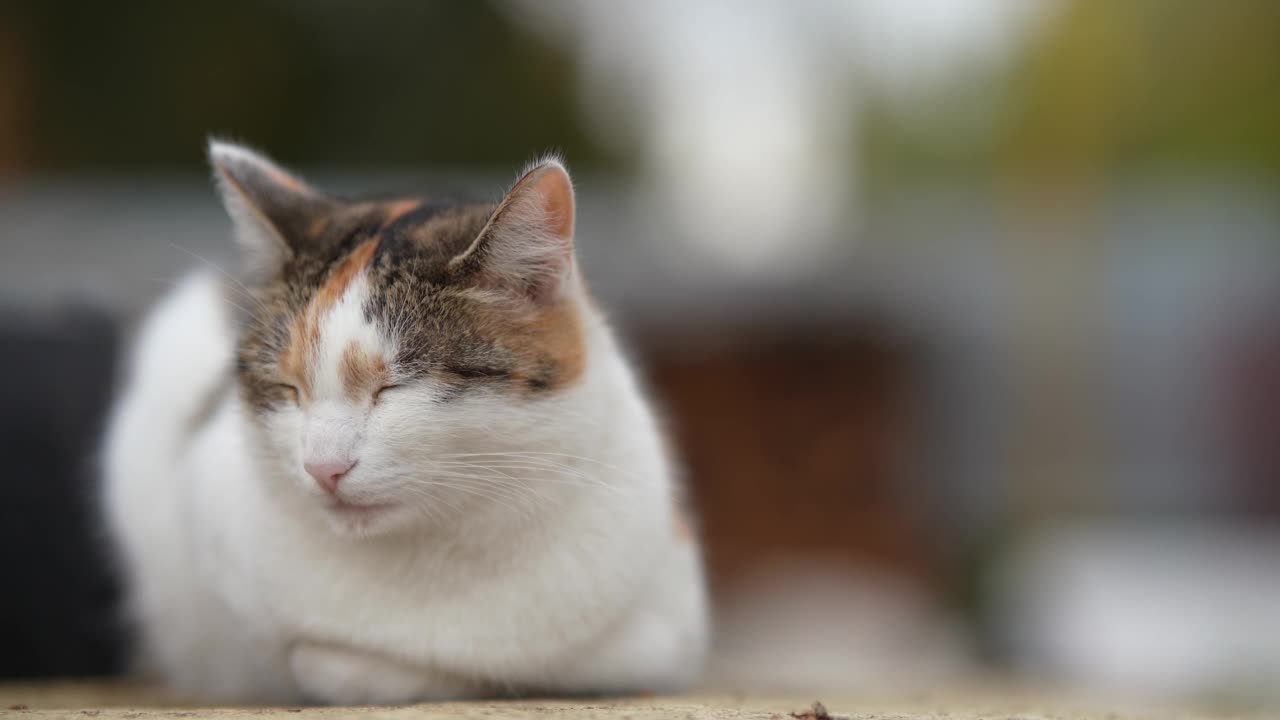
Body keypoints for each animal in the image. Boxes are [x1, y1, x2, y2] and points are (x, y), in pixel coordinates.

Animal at [99, 140, 711, 702]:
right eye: (289, 390)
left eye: (392, 388)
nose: (322, 468)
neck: (436, 553)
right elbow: (299, 656)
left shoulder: (664, 630)